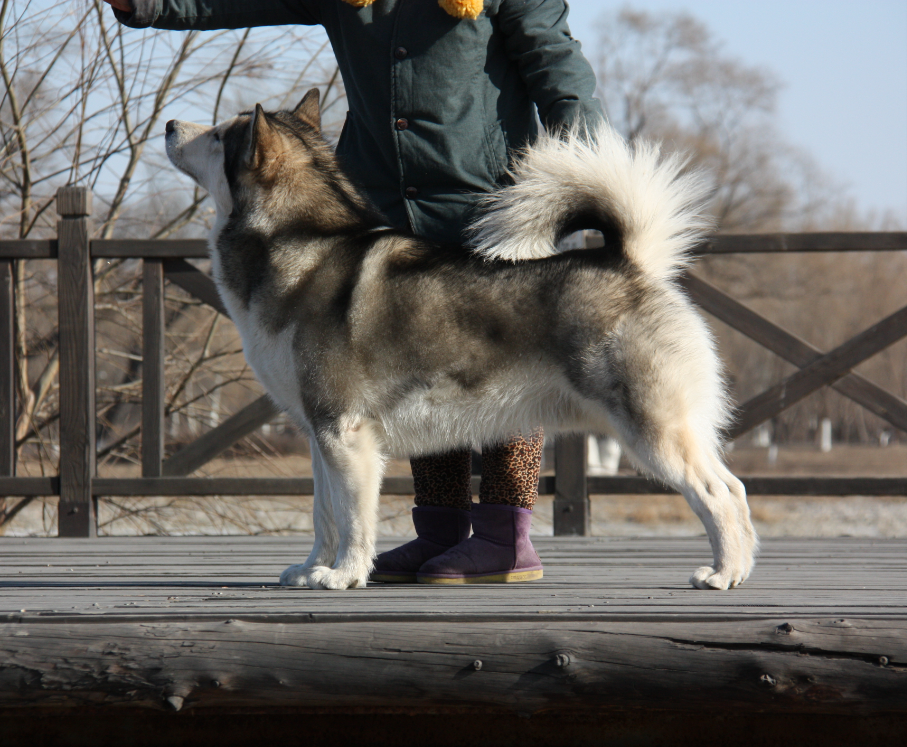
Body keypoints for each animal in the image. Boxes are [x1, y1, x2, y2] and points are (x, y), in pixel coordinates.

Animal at [165, 89, 760, 592]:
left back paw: (723, 574)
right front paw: (313, 568)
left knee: (720, 493)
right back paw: (739, 568)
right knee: (736, 489)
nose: (171, 124)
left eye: (218, 134)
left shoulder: (345, 433)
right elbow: (322, 514)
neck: (299, 243)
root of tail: (630, 261)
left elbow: (352, 519)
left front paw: (345, 575)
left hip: (653, 433)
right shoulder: (318, 436)